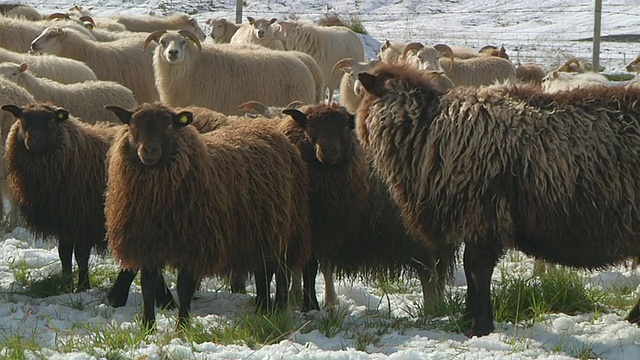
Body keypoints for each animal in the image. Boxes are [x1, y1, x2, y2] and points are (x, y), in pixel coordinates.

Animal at [105, 102, 312, 330]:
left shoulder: (195, 244)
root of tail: (267, 128)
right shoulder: (146, 244)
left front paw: (182, 328)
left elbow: (185, 287)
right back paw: (263, 308)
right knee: (264, 272)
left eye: (169, 126)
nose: (148, 150)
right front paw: (147, 326)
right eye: (133, 125)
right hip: (261, 233)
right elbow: (147, 287)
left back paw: (278, 309)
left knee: (280, 271)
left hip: (287, 231)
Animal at [356, 61, 640, 338]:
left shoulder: (482, 214)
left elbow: (476, 269)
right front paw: (467, 320)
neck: (427, 128)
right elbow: (471, 271)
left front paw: (479, 327)